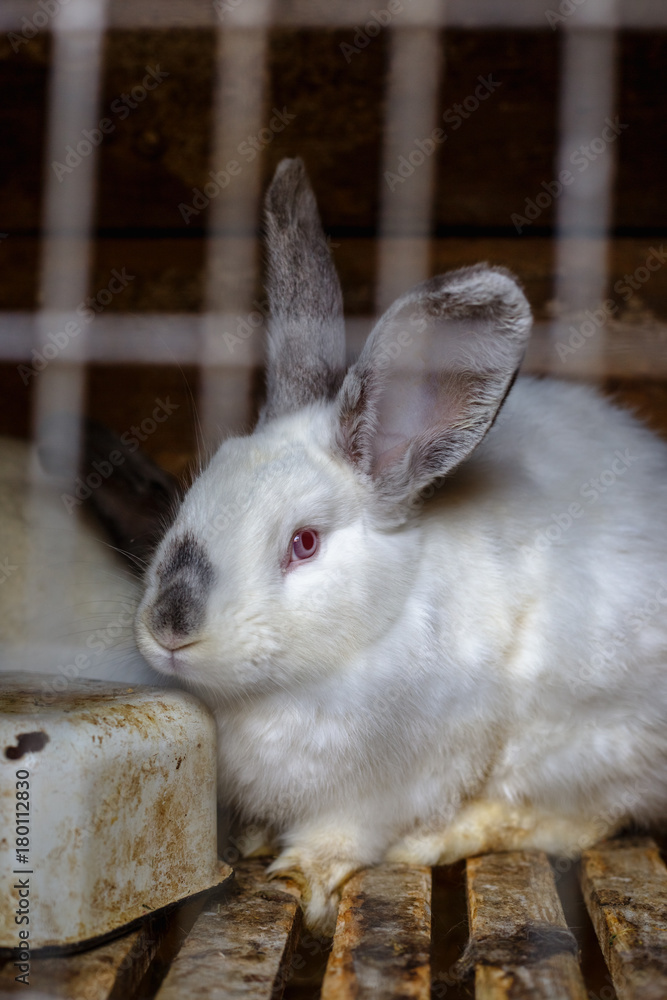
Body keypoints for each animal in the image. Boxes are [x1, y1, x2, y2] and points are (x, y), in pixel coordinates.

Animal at [134, 157, 667, 935]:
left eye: (304, 542)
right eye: (191, 498)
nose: (171, 626)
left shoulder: (386, 789)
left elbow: (346, 834)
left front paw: (303, 875)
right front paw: (257, 837)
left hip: (590, 741)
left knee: (580, 820)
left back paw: (444, 837)